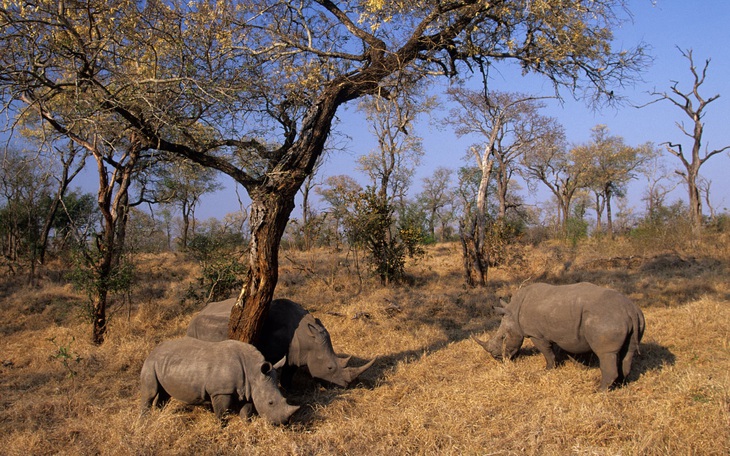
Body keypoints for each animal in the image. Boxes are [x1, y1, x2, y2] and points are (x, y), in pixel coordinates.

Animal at [139, 336, 298, 426]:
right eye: (270, 403)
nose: (284, 424)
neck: (253, 371)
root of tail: (154, 349)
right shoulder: (220, 391)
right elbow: (222, 411)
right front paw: (221, 426)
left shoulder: (248, 389)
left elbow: (246, 410)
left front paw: (245, 425)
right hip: (150, 363)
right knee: (150, 392)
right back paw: (144, 421)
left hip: (163, 363)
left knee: (164, 393)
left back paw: (159, 415)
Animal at [186, 300, 376, 388]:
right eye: (330, 368)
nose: (345, 386)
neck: (307, 335)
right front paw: (287, 389)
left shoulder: (296, 351)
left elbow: (289, 370)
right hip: (194, 329)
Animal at [472, 284, 644, 390]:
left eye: (502, 338)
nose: (496, 358)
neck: (514, 312)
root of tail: (630, 310)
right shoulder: (564, 334)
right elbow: (564, 349)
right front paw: (578, 364)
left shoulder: (536, 334)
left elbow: (547, 352)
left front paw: (547, 369)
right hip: (631, 317)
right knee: (628, 352)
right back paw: (621, 384)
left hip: (605, 319)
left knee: (606, 354)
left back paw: (599, 390)